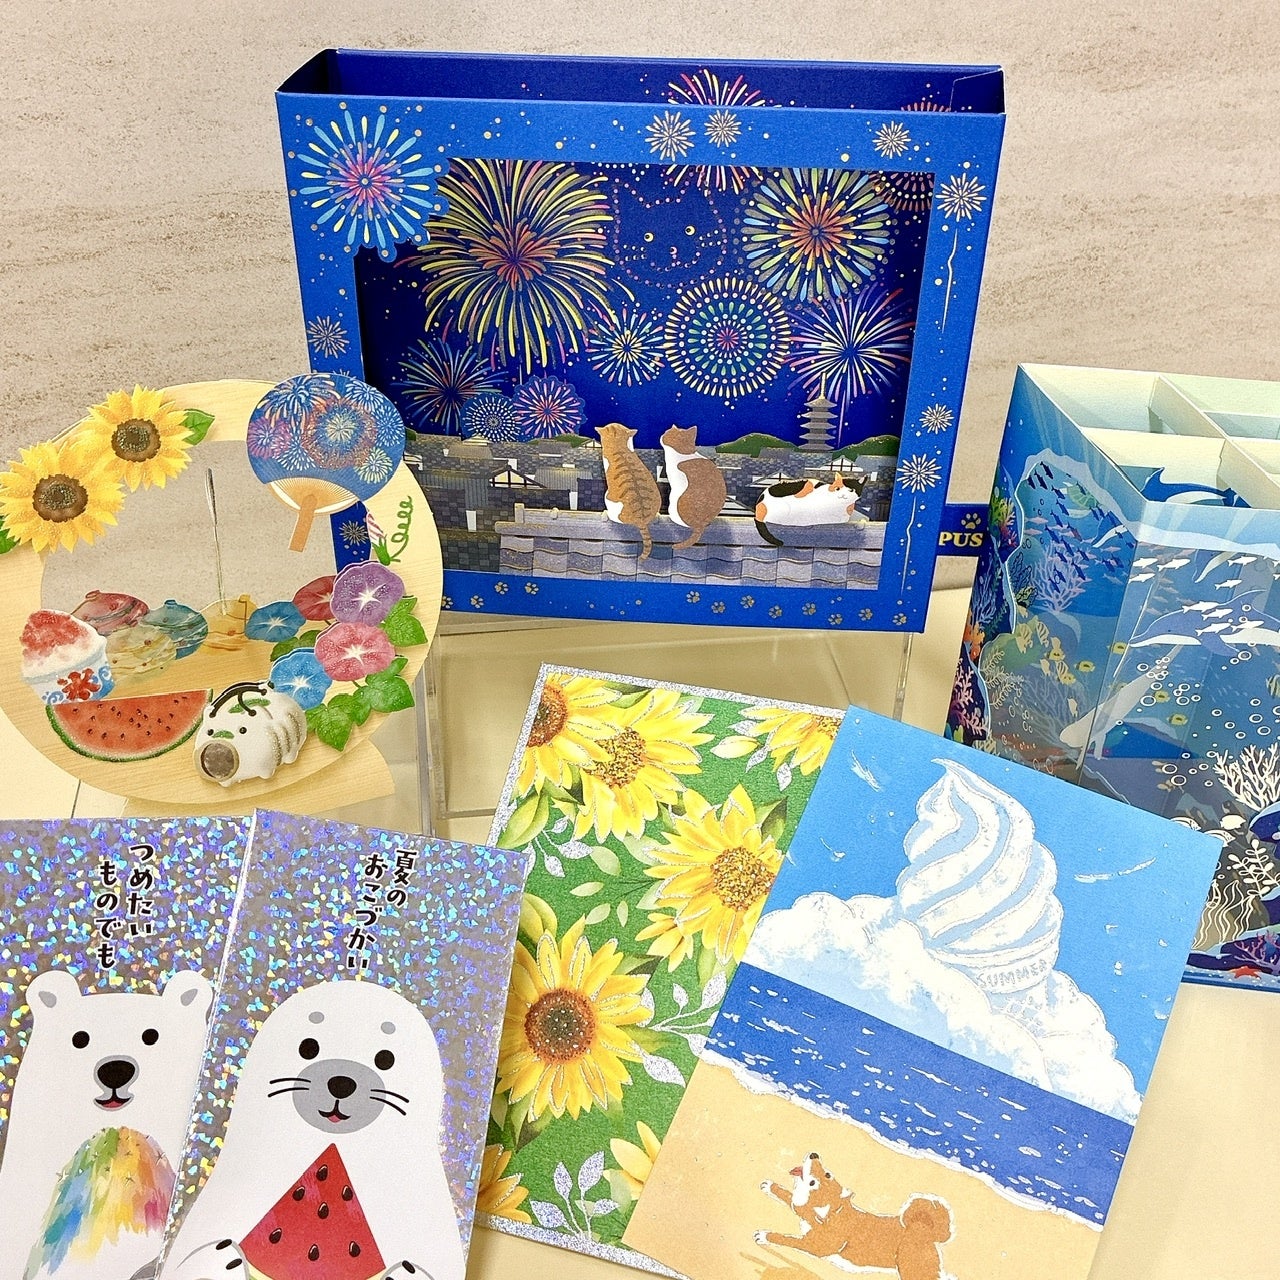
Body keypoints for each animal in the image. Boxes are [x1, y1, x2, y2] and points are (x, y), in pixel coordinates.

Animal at [754, 1153, 951, 1280]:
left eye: (813, 1182)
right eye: (828, 1173)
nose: (814, 1155)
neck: (828, 1215)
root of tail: (926, 1232)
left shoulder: (812, 1245)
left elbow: (785, 1238)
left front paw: (764, 1236)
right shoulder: (799, 1208)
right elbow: (788, 1197)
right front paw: (770, 1187)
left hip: (912, 1269)